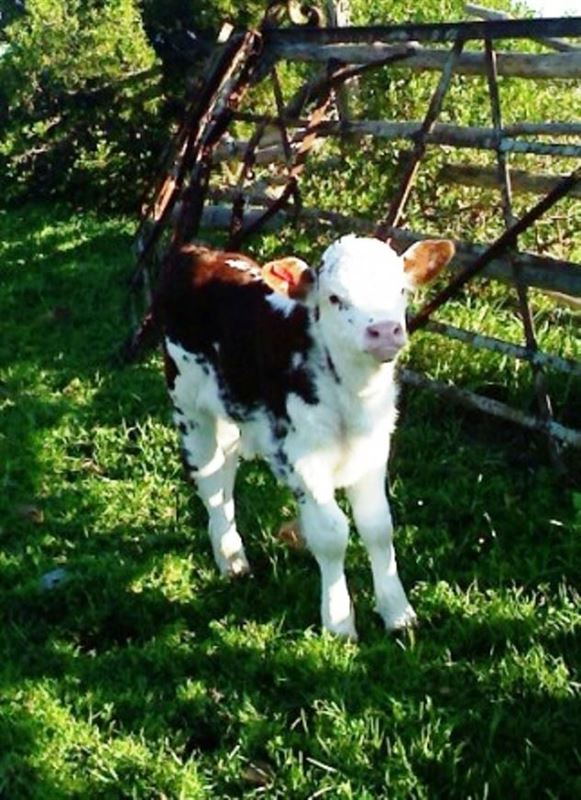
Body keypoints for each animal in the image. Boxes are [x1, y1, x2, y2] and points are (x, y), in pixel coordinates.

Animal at [158, 235, 455, 639]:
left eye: (401, 290)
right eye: (334, 298)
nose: (384, 331)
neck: (350, 397)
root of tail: (199, 252)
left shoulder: (373, 451)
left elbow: (378, 527)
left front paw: (398, 613)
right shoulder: (301, 459)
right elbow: (331, 534)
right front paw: (339, 623)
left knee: (226, 474)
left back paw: (233, 556)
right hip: (189, 406)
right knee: (209, 479)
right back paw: (231, 561)